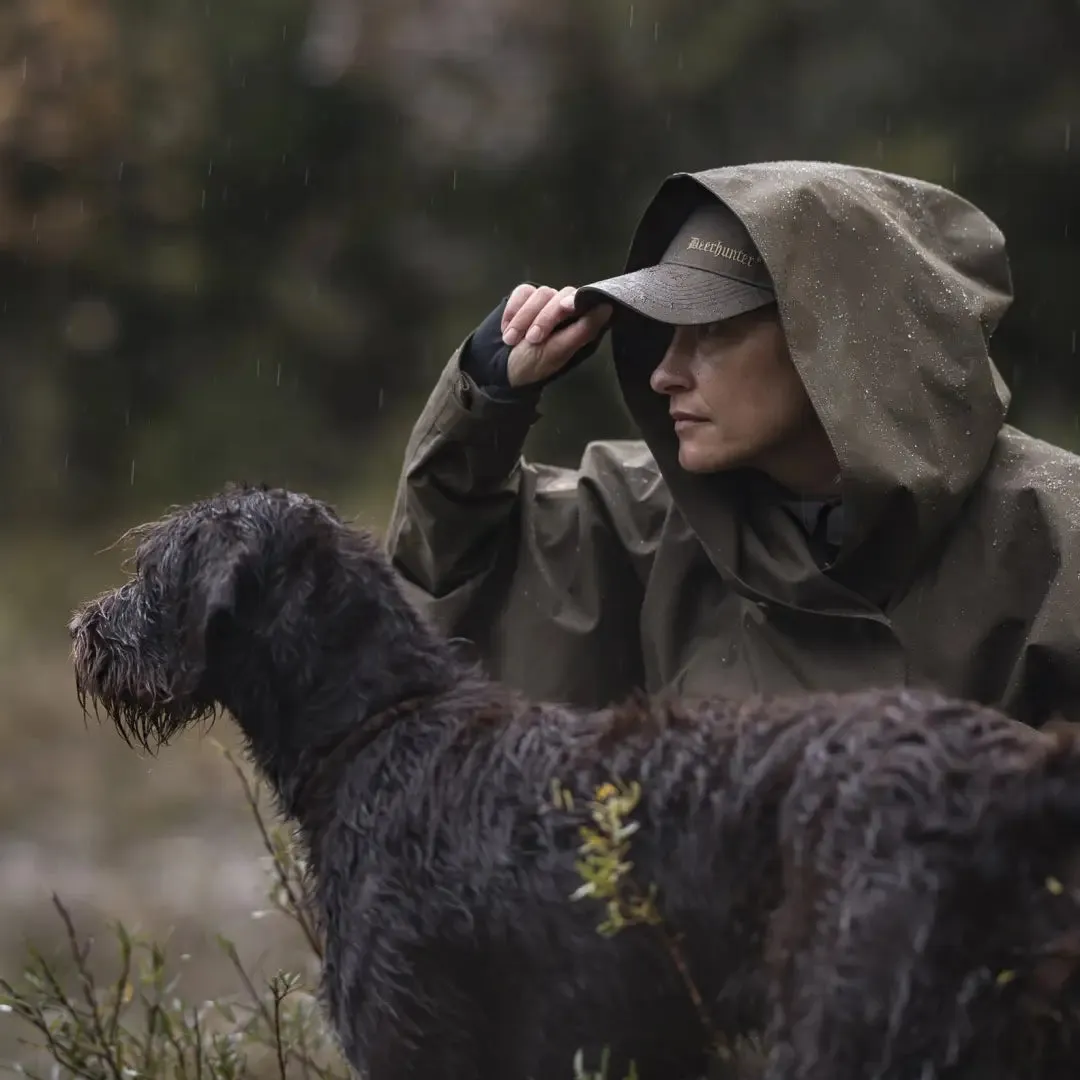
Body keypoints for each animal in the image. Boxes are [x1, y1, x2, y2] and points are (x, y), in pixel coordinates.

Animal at [69, 490, 1080, 1080]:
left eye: (153, 570)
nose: (86, 631)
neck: (383, 721)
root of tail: (1023, 777)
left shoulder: (413, 1042)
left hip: (854, 1022)